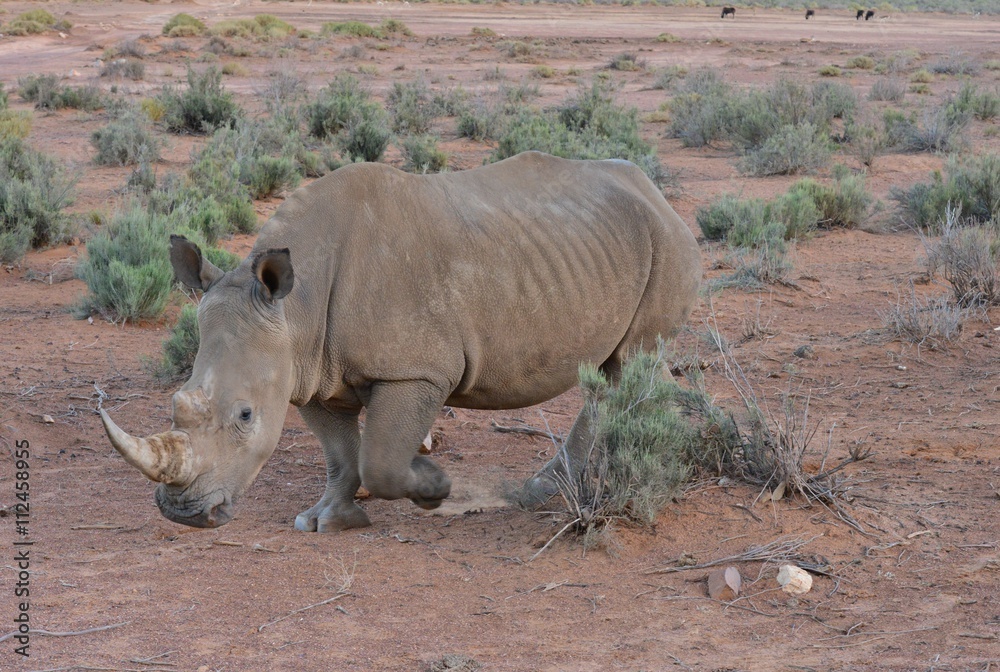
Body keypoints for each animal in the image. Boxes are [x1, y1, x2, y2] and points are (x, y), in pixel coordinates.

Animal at [100, 151, 701, 531]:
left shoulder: (416, 369)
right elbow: (342, 456)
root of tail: (654, 191)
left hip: (666, 242)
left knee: (632, 361)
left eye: (245, 416)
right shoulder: (308, 372)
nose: (182, 514)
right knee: (610, 372)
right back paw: (548, 488)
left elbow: (381, 462)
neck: (294, 308)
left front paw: (433, 487)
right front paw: (327, 520)